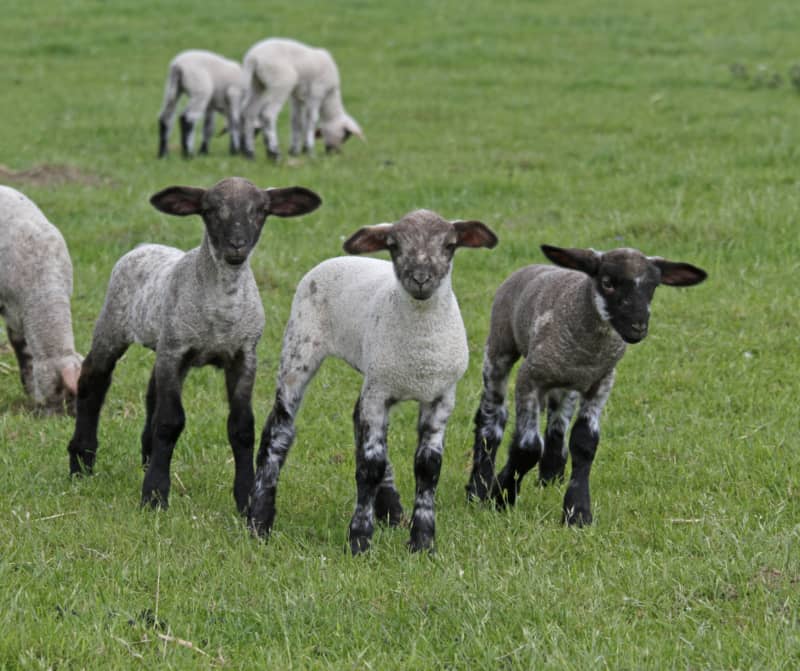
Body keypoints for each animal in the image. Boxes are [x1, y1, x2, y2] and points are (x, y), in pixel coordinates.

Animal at [66, 176, 322, 512]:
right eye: (210, 210)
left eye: (260, 211)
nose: (237, 244)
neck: (221, 306)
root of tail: (144, 246)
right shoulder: (176, 350)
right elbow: (170, 422)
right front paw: (155, 495)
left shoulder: (243, 356)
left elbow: (242, 427)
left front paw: (245, 497)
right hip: (114, 324)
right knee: (93, 381)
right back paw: (81, 460)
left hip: (165, 347)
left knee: (152, 392)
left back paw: (147, 457)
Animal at [250, 207, 496, 552]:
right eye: (393, 245)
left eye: (450, 245)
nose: (421, 279)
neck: (420, 353)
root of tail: (339, 259)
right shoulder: (379, 393)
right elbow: (370, 466)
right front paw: (359, 540)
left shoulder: (441, 396)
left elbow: (428, 467)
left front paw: (422, 541)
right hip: (300, 346)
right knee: (279, 428)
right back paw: (259, 519)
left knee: (357, 419)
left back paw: (391, 511)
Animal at [468, 244, 708, 528]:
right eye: (607, 283)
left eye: (653, 287)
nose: (638, 327)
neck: (588, 350)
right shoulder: (530, 377)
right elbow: (527, 447)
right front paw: (501, 495)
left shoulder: (601, 382)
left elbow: (585, 442)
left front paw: (577, 512)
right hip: (500, 346)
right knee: (492, 416)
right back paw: (478, 486)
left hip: (566, 384)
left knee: (557, 420)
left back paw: (550, 475)